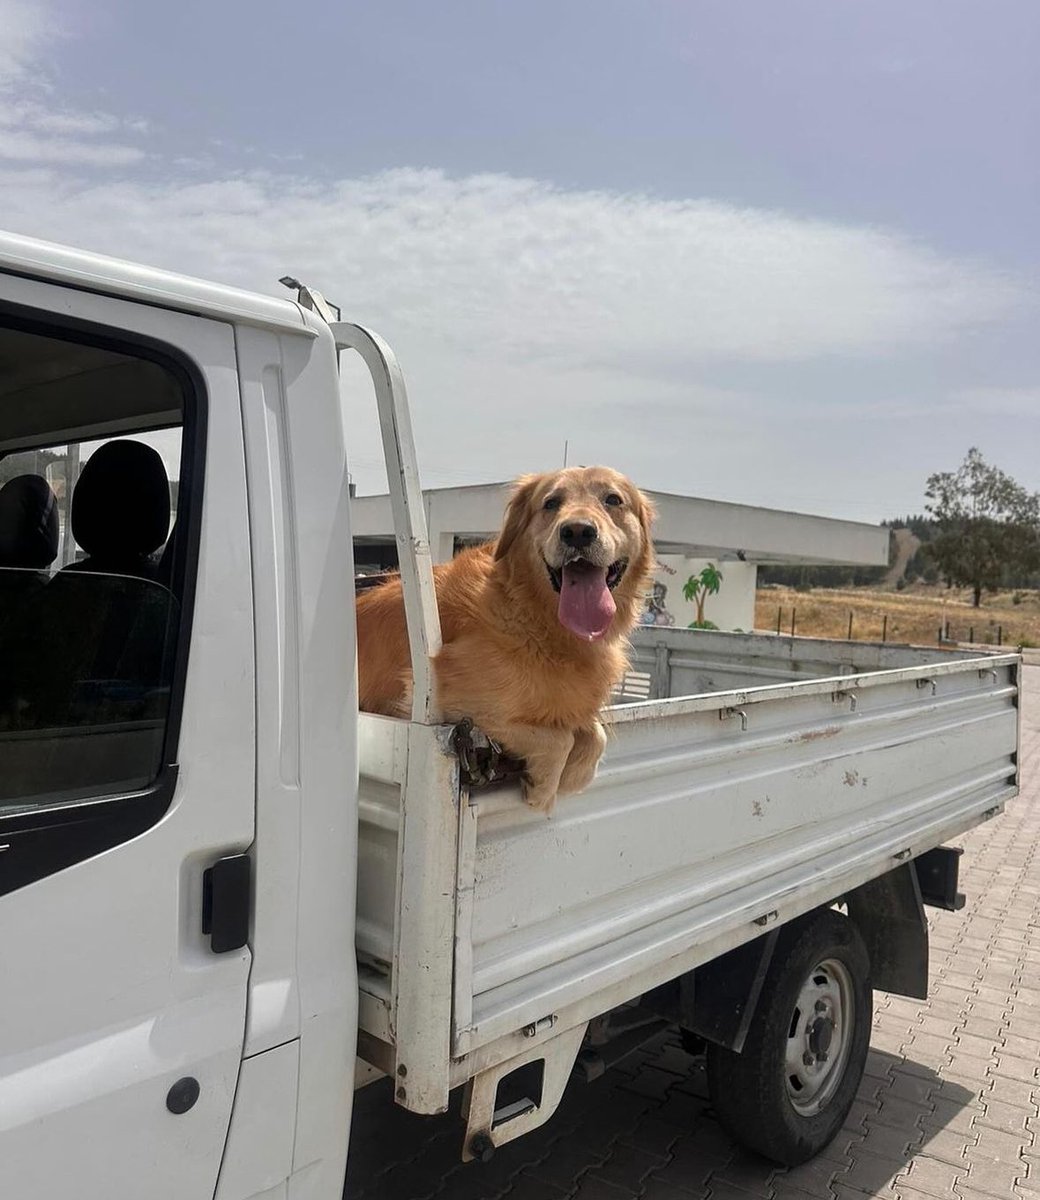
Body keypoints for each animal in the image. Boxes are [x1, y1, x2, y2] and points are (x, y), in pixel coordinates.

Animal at [352, 463, 652, 811]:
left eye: (613, 499)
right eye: (551, 503)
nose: (577, 531)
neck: (535, 618)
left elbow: (594, 735)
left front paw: (572, 777)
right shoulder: (449, 704)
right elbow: (560, 738)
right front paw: (543, 788)